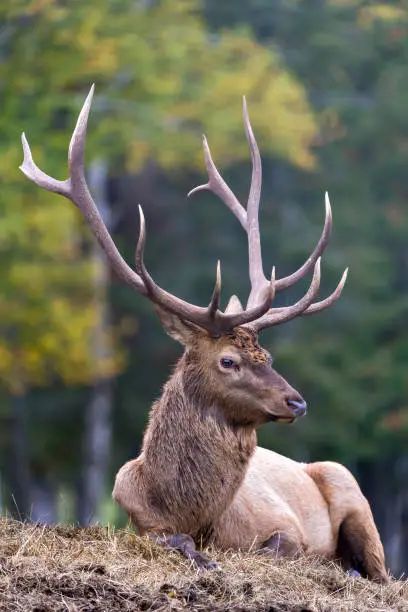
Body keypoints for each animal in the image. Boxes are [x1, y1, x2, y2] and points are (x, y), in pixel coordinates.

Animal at [20, 87, 388, 584]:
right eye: (228, 360)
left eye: (268, 356)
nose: (297, 402)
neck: (191, 512)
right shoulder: (140, 521)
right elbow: (175, 542)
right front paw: (199, 555)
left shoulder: (287, 529)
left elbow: (275, 549)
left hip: (350, 489)